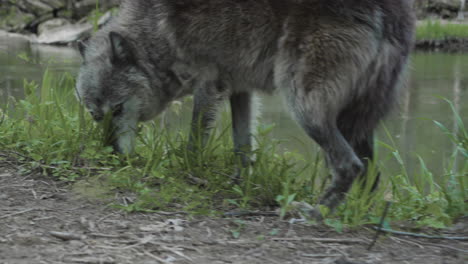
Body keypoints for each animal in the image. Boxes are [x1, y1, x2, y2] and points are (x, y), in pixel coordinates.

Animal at [77, 0, 416, 214]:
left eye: (118, 110)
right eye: (95, 116)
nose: (111, 155)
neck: (154, 30)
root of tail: (394, 14)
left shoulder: (207, 85)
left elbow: (194, 141)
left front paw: (189, 174)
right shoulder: (240, 90)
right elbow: (242, 146)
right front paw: (240, 184)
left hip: (304, 107)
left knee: (350, 166)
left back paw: (316, 212)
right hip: (352, 121)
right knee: (371, 176)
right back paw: (354, 213)